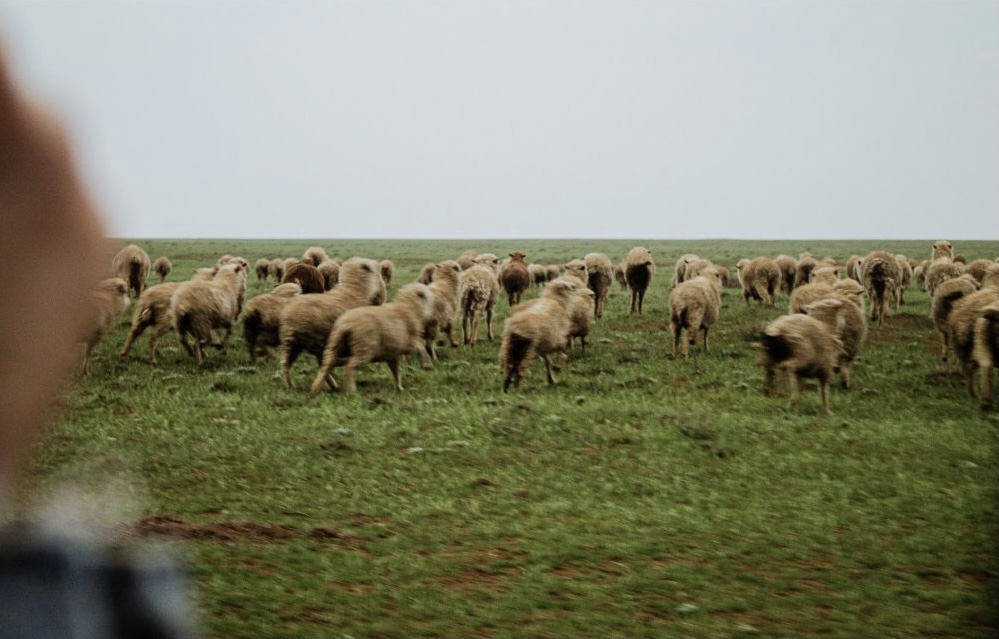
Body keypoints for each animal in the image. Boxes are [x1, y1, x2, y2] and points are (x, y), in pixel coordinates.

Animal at [278, 257, 386, 389]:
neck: (354, 291)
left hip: (292, 342)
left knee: (286, 363)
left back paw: (291, 385)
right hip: (317, 341)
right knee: (323, 363)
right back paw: (333, 383)